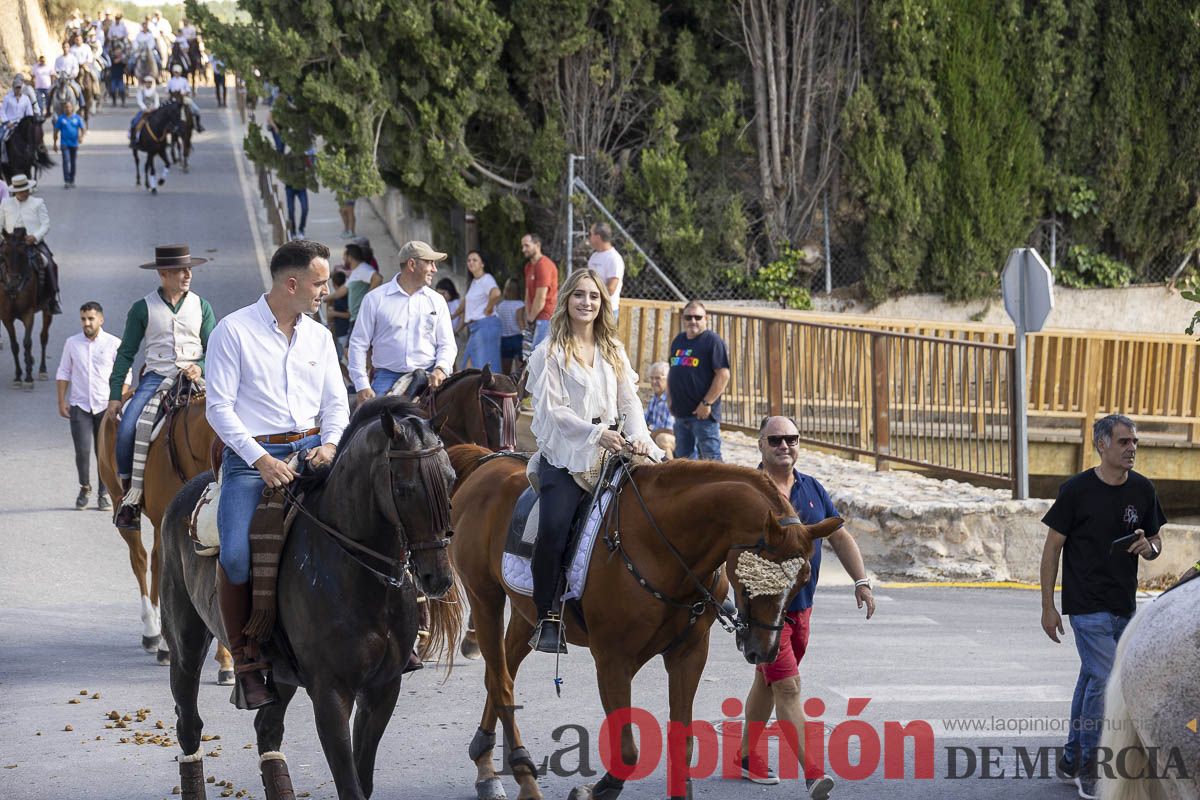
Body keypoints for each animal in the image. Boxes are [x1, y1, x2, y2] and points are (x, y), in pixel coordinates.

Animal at [0, 233, 53, 387]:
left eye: (22, 253)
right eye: (4, 254)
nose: (13, 284)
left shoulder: (28, 314)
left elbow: (27, 343)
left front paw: (28, 377)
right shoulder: (6, 318)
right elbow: (15, 346)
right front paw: (18, 376)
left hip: (47, 310)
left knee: (43, 337)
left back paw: (42, 370)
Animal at [160, 398, 461, 800]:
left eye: (451, 479)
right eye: (406, 488)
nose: (437, 577)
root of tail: (185, 492)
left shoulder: (382, 690)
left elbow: (362, 780)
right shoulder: (330, 694)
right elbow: (350, 785)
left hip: (282, 672)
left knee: (267, 731)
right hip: (186, 645)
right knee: (189, 725)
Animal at [435, 446, 840, 800]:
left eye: (803, 580)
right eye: (753, 576)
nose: (764, 650)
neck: (663, 547)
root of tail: (487, 462)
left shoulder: (689, 655)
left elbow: (683, 743)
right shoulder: (613, 660)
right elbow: (628, 750)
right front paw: (595, 790)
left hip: (526, 614)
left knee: (500, 673)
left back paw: (486, 762)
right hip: (485, 597)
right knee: (500, 680)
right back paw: (516, 774)